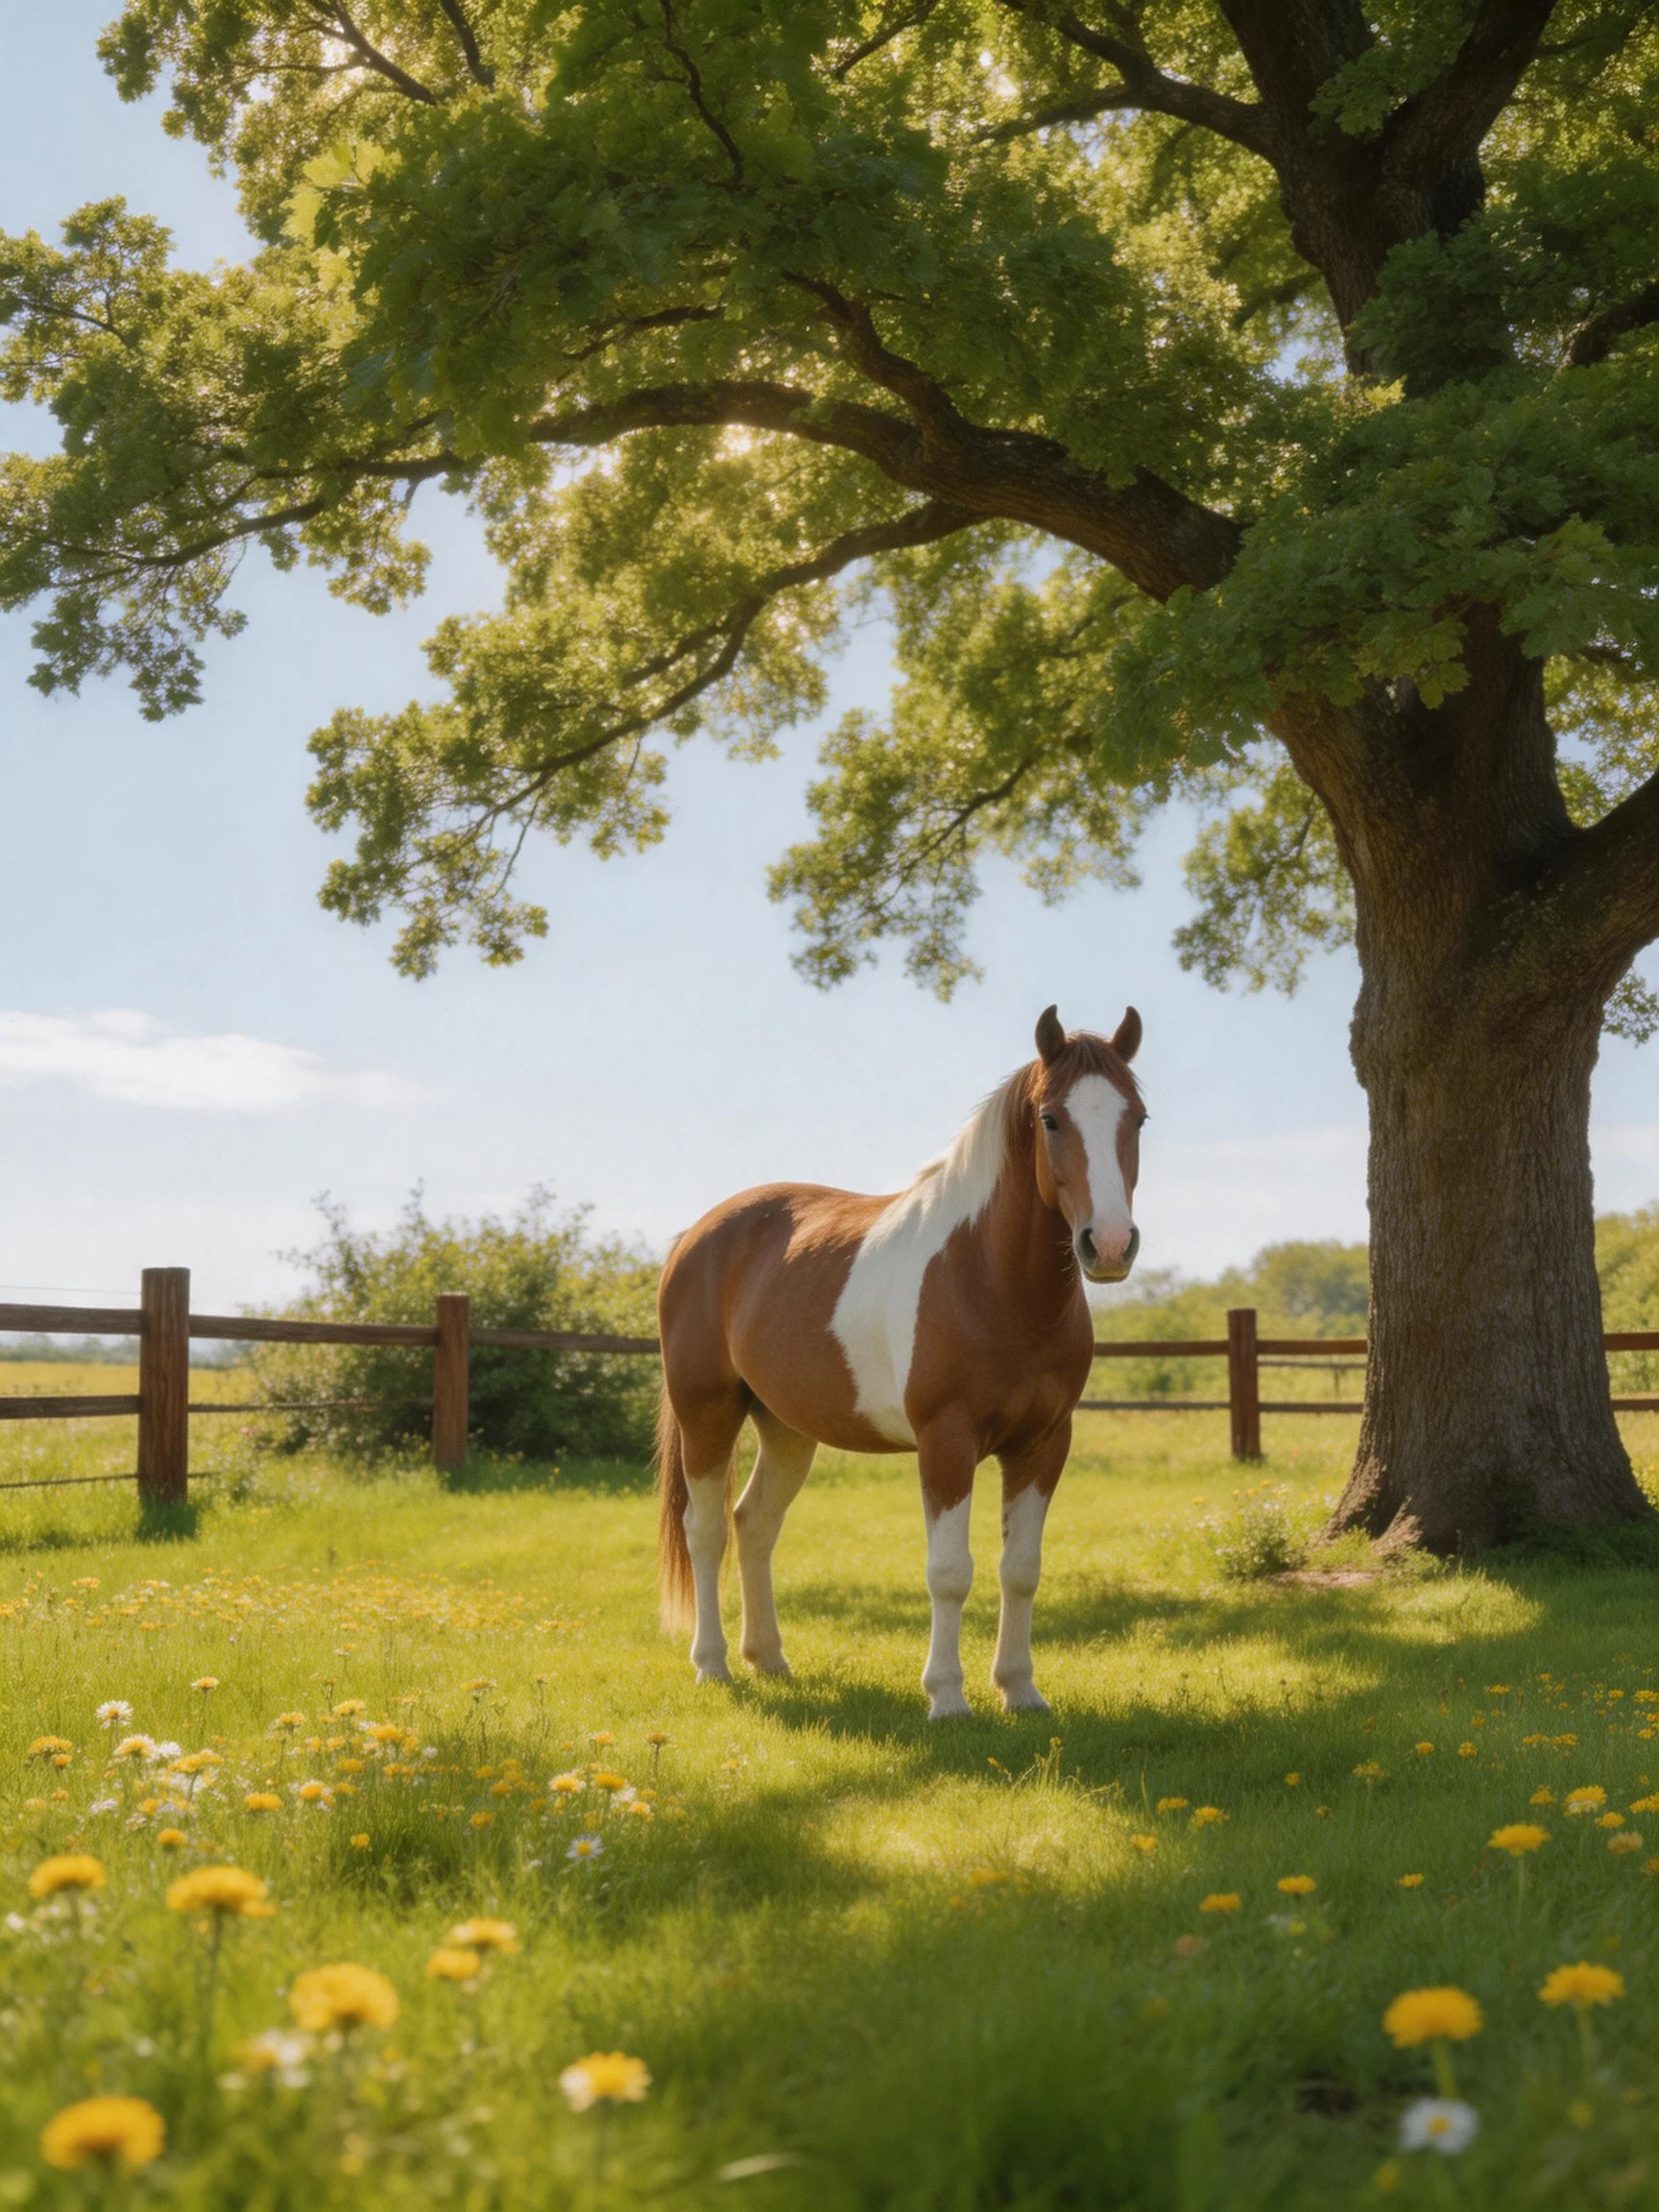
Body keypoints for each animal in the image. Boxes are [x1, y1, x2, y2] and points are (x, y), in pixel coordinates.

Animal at [655, 1004, 1145, 1719]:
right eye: (1052, 1118)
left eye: (1138, 1117)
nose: (1107, 1245)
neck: (991, 1281)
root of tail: (694, 1237)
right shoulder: (947, 1441)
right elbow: (950, 1573)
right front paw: (947, 1698)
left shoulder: (1045, 1443)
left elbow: (1020, 1570)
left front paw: (1020, 1690)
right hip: (707, 1413)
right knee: (706, 1529)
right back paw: (712, 1665)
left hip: (786, 1428)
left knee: (755, 1525)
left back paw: (768, 1659)